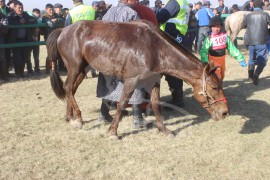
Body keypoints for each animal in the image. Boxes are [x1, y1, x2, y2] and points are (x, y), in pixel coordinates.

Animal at [47, 19, 229, 139]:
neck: (154, 48)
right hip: (75, 67)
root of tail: (63, 30)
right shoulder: (131, 81)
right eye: (214, 87)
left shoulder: (153, 81)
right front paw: (113, 132)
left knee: (70, 89)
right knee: (68, 88)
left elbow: (155, 105)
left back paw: (69, 116)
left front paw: (163, 130)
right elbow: (121, 104)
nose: (225, 112)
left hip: (82, 70)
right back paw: (77, 118)